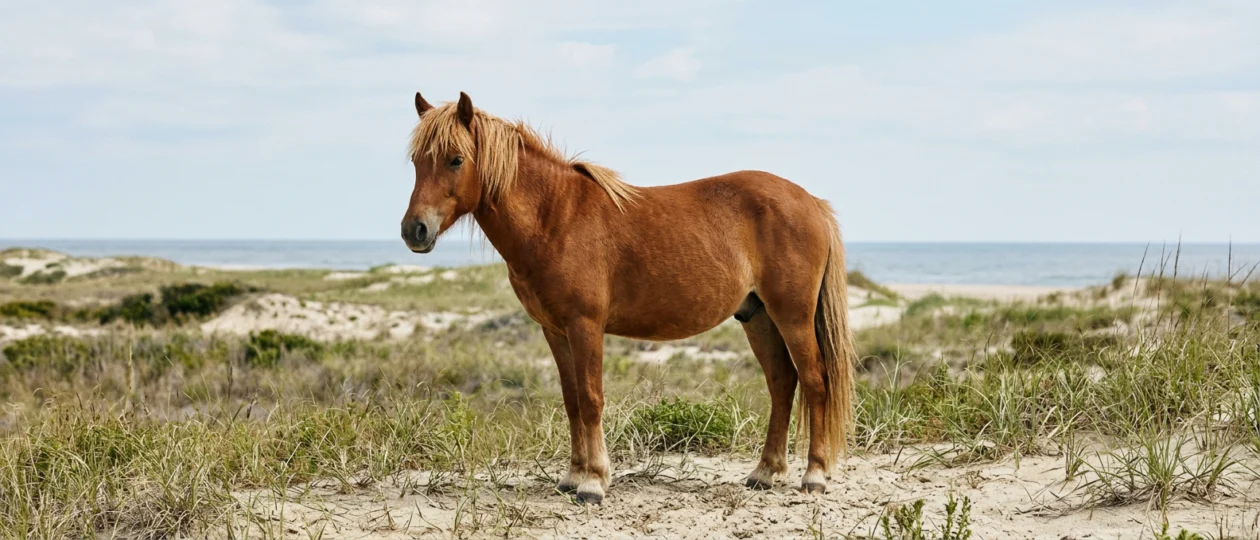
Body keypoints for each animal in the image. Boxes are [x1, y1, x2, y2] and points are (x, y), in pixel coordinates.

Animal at [400, 91, 856, 505]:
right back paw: (765, 472)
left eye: (455, 159)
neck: (555, 218)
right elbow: (571, 401)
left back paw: (814, 476)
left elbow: (590, 398)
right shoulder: (555, 330)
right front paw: (572, 476)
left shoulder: (585, 326)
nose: (414, 231)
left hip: (792, 315)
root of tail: (809, 201)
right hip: (757, 317)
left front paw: (593, 483)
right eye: (417, 161)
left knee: (814, 381)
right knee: (782, 383)